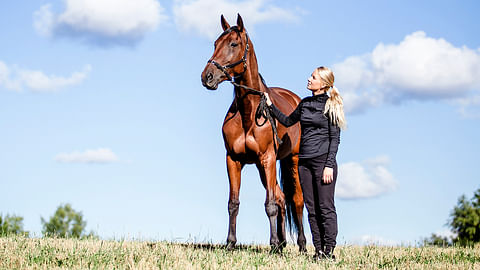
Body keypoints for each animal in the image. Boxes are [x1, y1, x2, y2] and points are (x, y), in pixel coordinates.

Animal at [200, 13, 306, 252]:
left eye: (233, 44)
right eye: (214, 44)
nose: (207, 77)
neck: (250, 112)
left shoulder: (267, 158)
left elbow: (270, 204)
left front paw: (272, 243)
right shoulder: (233, 160)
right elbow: (233, 203)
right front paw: (230, 243)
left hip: (291, 160)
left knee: (296, 200)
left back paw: (301, 245)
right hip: (262, 167)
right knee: (281, 197)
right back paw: (282, 244)